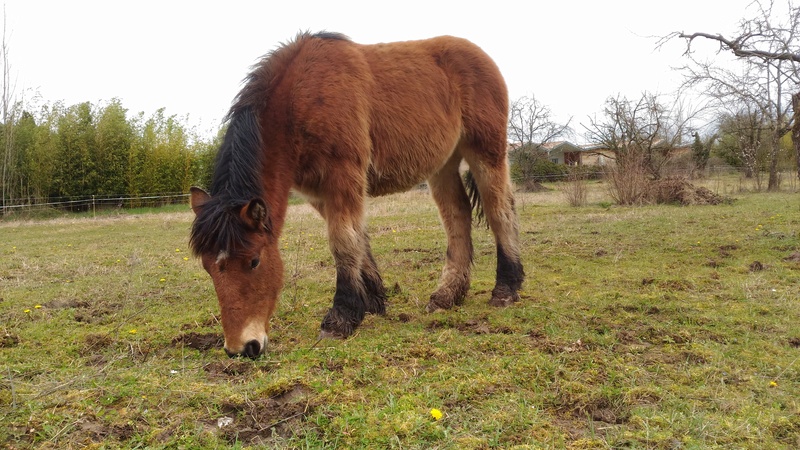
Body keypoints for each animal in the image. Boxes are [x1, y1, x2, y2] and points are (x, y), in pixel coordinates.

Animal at [188, 31, 524, 358]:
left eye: (255, 261)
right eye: (207, 267)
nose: (242, 348)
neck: (300, 96)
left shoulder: (343, 176)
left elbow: (343, 241)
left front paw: (341, 317)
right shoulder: (319, 193)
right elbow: (358, 239)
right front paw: (373, 301)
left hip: (486, 153)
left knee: (500, 210)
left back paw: (506, 289)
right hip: (443, 164)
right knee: (457, 215)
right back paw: (447, 295)